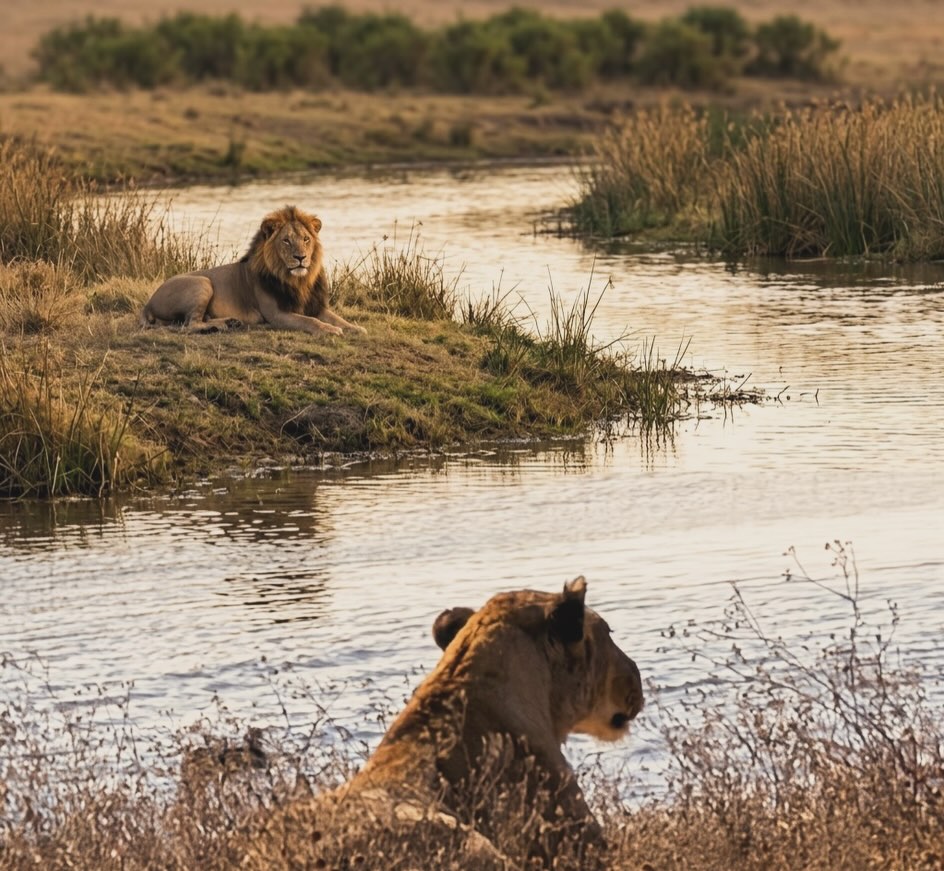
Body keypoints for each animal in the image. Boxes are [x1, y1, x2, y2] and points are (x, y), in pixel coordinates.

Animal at [140, 205, 365, 336]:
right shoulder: (277, 314)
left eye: (306, 239)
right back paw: (217, 327)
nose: (300, 258)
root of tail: (148, 303)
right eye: (286, 240)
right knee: (190, 324)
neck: (298, 281)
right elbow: (309, 321)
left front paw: (356, 328)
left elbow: (337, 317)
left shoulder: (315, 306)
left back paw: (231, 322)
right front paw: (331, 330)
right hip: (202, 283)